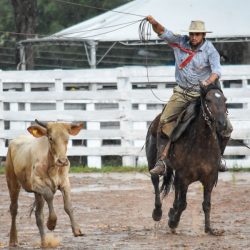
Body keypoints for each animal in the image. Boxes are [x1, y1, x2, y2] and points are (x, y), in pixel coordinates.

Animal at [146, 85, 228, 235]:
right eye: (208, 100)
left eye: (225, 100)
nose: (222, 124)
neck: (202, 144)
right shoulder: (184, 177)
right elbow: (183, 204)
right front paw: (173, 222)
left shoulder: (209, 178)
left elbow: (206, 204)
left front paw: (209, 229)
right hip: (152, 160)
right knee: (155, 181)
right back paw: (158, 213)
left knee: (175, 188)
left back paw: (171, 211)